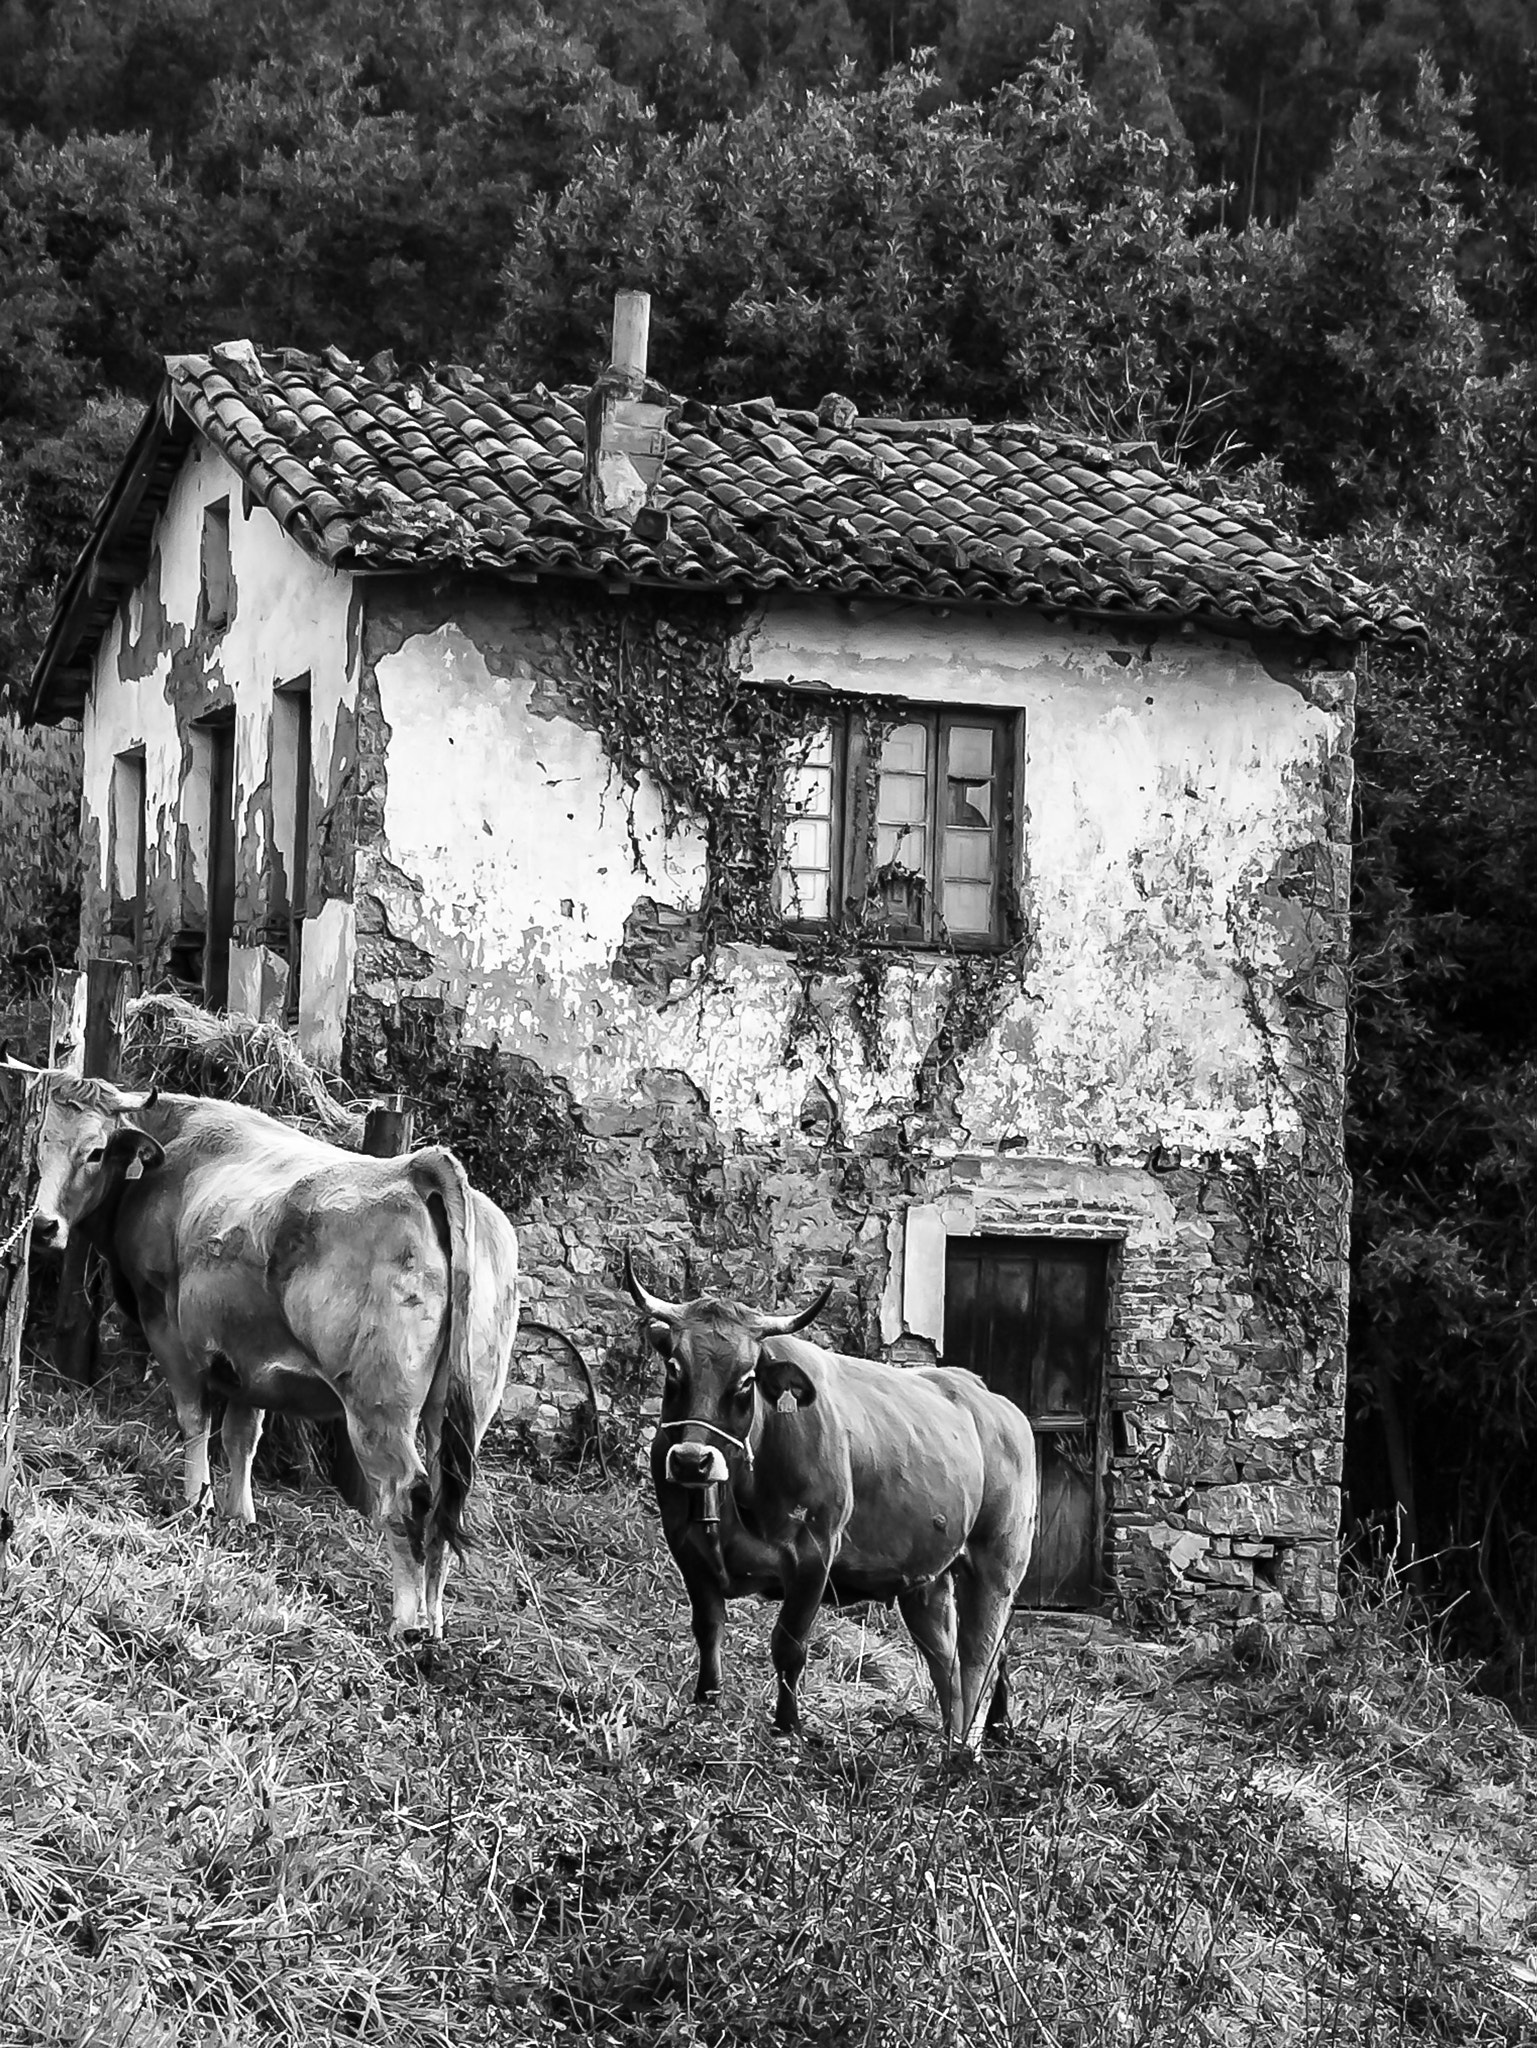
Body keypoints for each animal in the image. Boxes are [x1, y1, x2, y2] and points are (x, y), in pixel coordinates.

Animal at [30, 1073, 520, 1638]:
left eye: (94, 1151)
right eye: (40, 1145)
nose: (43, 1226)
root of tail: (419, 1168)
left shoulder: (168, 1329)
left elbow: (195, 1420)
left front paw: (194, 1502)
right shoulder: (248, 1356)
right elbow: (243, 1436)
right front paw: (237, 1514)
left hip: (378, 1409)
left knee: (405, 1497)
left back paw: (404, 1623)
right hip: (461, 1413)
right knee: (444, 1498)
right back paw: (433, 1623)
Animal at [625, 1253, 1039, 1746]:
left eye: (746, 1380)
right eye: (674, 1368)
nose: (691, 1461)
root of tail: (988, 1396)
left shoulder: (813, 1552)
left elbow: (789, 1644)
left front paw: (787, 1727)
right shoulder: (687, 1547)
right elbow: (708, 1630)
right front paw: (706, 1708)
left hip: (998, 1566)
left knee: (981, 1659)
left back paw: (966, 1749)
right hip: (927, 1581)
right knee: (948, 1664)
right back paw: (946, 1746)